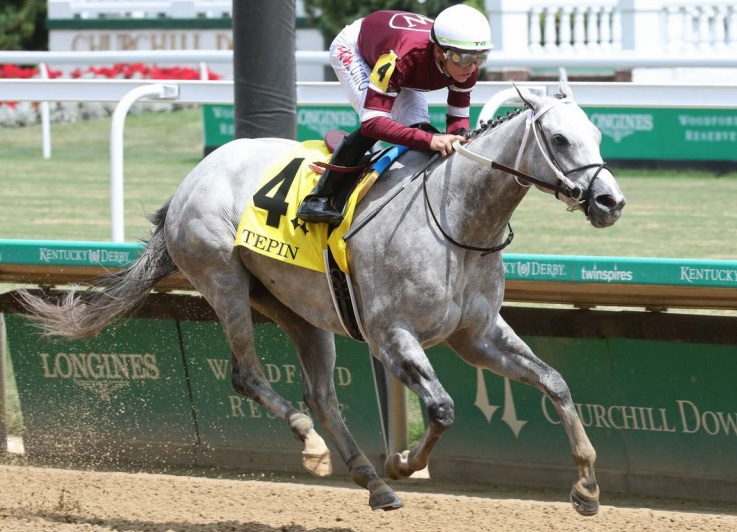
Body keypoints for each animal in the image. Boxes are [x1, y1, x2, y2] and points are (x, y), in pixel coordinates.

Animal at [17, 83, 624, 516]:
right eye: (561, 140)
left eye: (597, 134)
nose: (610, 202)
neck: (456, 217)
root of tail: (194, 177)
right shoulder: (392, 335)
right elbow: (443, 407)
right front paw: (403, 461)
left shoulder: (477, 335)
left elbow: (554, 383)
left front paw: (587, 487)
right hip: (224, 281)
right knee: (248, 375)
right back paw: (316, 449)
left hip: (297, 310)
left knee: (321, 394)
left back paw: (371, 481)